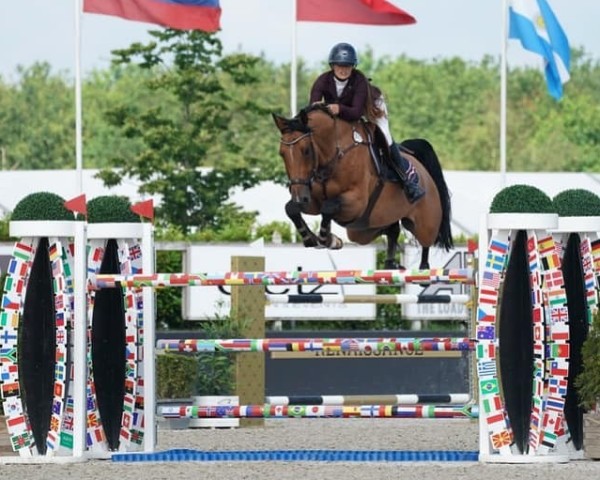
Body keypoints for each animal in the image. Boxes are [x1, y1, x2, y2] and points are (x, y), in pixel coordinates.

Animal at [270, 103, 450, 270]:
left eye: (306, 150)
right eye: (282, 153)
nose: (299, 197)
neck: (334, 156)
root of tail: (422, 169)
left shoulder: (356, 203)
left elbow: (328, 207)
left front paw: (328, 240)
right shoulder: (313, 202)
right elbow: (291, 209)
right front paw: (311, 239)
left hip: (425, 224)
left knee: (425, 243)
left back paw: (423, 269)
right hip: (363, 230)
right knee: (392, 230)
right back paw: (391, 264)